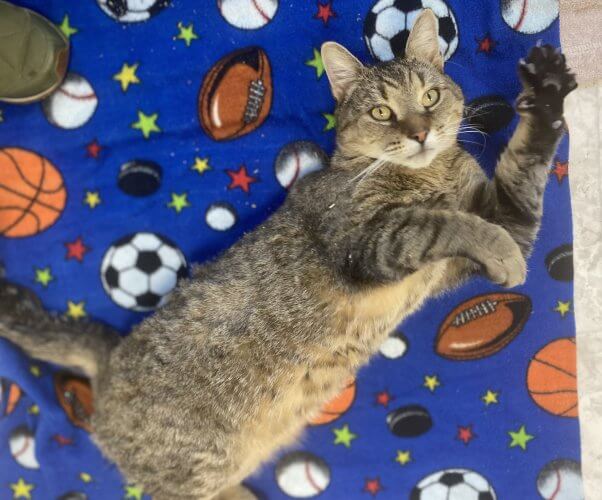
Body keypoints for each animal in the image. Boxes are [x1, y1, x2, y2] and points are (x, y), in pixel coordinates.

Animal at [0, 9, 572, 498]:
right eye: (382, 111)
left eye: (430, 97)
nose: (420, 132)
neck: (430, 174)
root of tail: (110, 360)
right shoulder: (367, 242)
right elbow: (445, 222)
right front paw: (501, 254)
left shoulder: (502, 212)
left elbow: (525, 165)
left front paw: (545, 99)